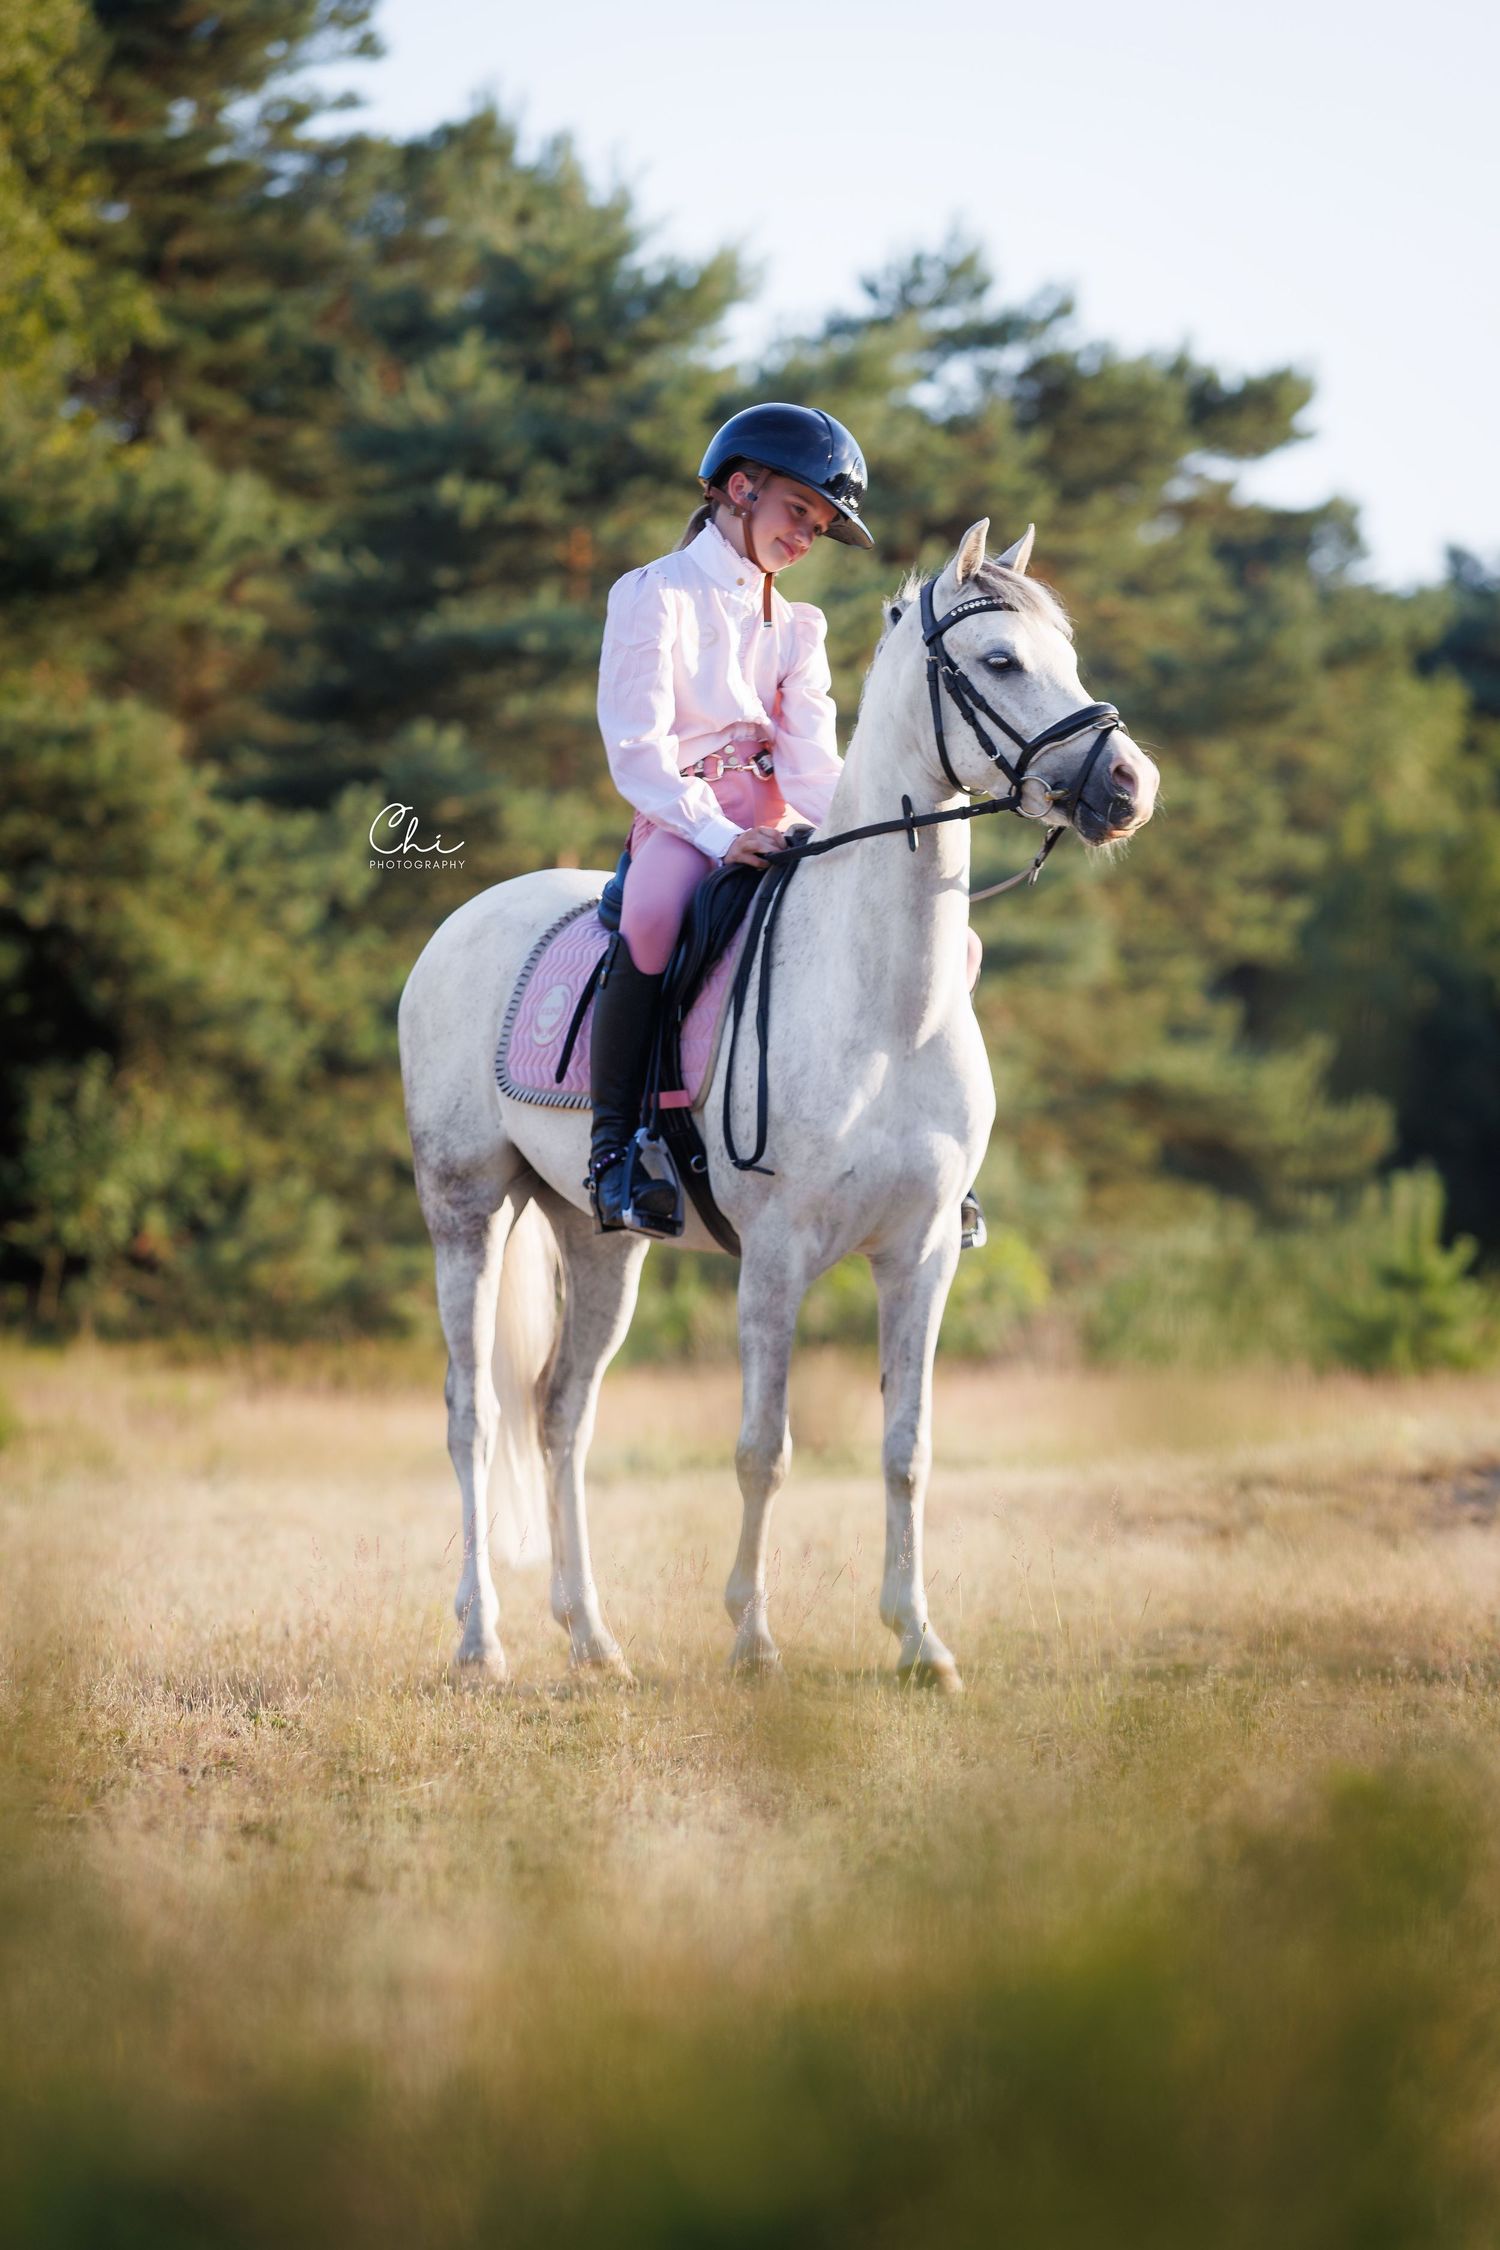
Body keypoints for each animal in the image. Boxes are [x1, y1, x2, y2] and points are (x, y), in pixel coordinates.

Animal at [398, 520, 1160, 1691]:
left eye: (1066, 657)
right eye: (999, 663)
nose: (1128, 784)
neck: (886, 1011)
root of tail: (463, 922)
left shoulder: (921, 1254)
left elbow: (907, 1448)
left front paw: (919, 1642)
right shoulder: (777, 1256)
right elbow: (766, 1448)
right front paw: (754, 1640)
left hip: (599, 1238)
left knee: (562, 1413)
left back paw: (593, 1638)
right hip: (465, 1214)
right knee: (474, 1417)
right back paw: (484, 1643)